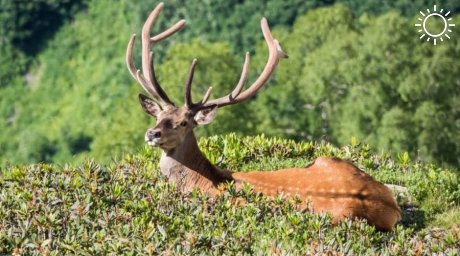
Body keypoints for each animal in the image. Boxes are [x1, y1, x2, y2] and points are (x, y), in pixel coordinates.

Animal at [124, 2, 400, 231]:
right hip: (329, 159)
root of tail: (391, 205)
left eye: (183, 123)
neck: (201, 182)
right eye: (158, 115)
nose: (152, 133)